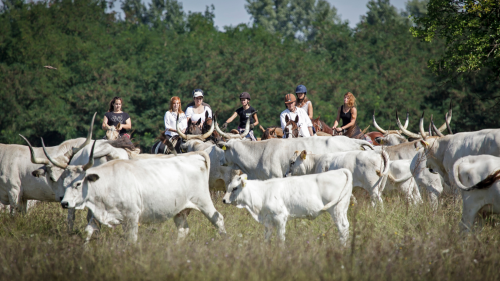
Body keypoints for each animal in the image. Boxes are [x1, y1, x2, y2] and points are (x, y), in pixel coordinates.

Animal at [221, 170, 354, 244]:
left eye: (235, 188)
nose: (224, 200)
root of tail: (340, 170)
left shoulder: (280, 217)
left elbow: (280, 238)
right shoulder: (268, 220)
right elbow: (267, 238)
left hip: (336, 209)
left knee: (342, 228)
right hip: (342, 208)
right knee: (346, 226)